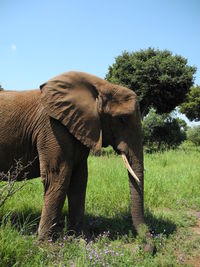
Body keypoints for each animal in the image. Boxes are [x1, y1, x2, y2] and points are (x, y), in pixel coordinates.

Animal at [0, 71, 153, 251]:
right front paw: (47, 246)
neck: (100, 86)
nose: (143, 248)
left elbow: (79, 178)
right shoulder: (52, 128)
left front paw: (80, 240)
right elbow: (58, 176)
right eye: (122, 119)